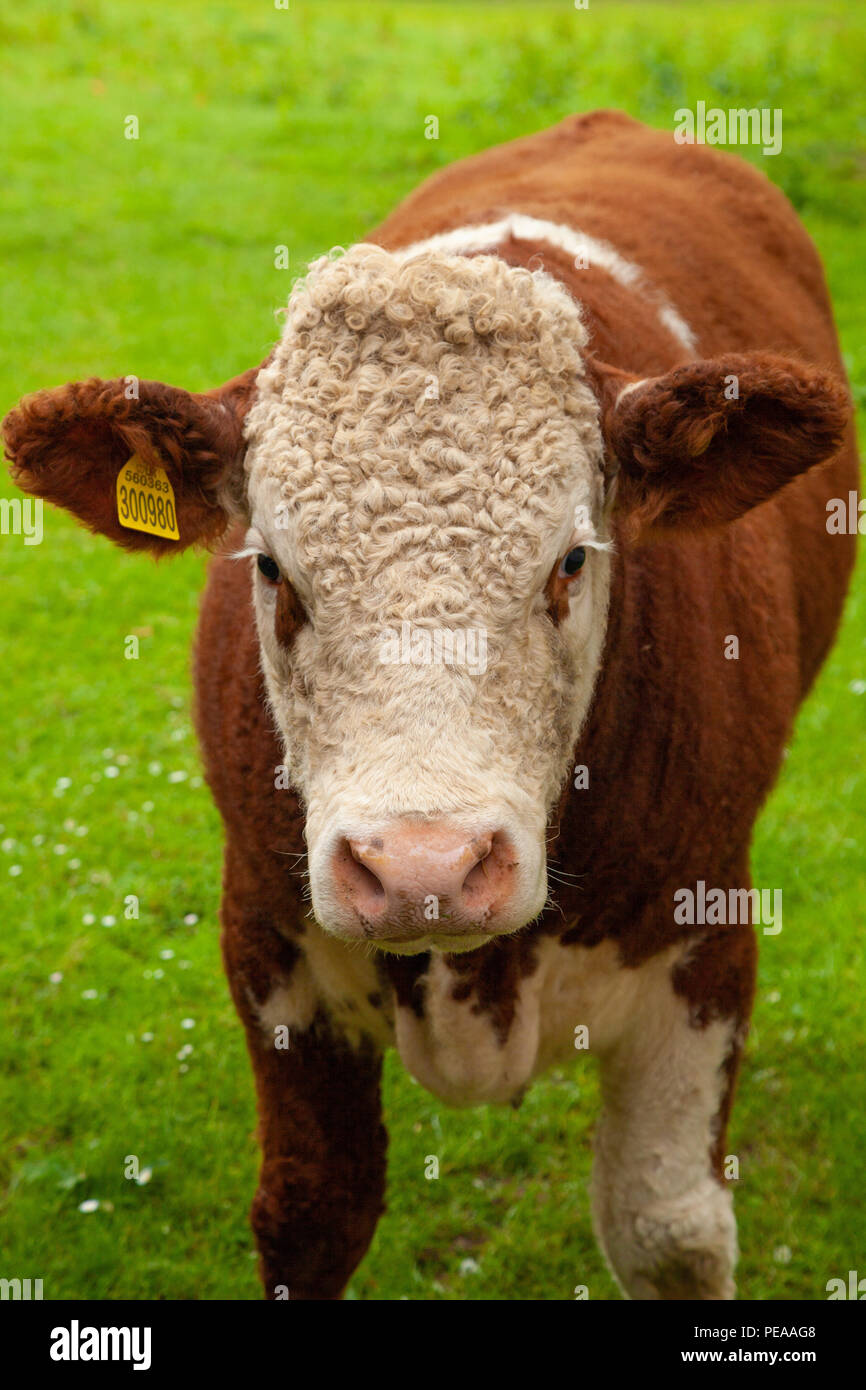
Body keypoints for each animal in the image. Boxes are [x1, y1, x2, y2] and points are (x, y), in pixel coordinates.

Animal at [4, 110, 858, 1300]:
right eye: (271, 567)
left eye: (570, 561)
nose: (424, 869)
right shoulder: (264, 941)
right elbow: (311, 1215)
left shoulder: (706, 945)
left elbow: (666, 1229)